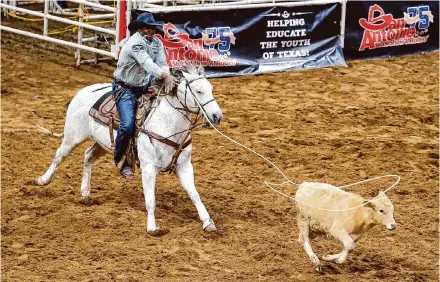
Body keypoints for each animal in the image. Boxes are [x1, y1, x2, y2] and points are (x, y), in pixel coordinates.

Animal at [34, 65, 222, 234]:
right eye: (198, 91)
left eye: (211, 89)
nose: (217, 116)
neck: (166, 124)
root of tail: (82, 92)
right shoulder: (148, 169)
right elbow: (150, 200)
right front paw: (152, 227)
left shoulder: (184, 166)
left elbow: (194, 194)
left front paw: (208, 222)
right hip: (73, 137)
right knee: (59, 156)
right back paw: (42, 180)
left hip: (105, 144)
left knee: (88, 156)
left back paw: (85, 194)